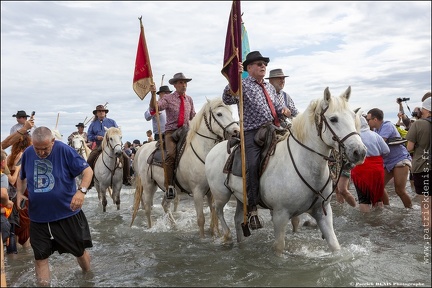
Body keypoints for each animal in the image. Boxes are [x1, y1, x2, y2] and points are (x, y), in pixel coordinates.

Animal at [132, 97, 240, 236]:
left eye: (231, 113)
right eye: (219, 114)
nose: (237, 131)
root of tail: (141, 149)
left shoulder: (211, 192)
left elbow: (213, 214)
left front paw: (215, 234)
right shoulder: (197, 192)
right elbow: (201, 219)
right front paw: (202, 238)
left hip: (167, 188)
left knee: (165, 205)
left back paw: (175, 226)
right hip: (148, 185)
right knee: (147, 207)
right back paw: (151, 228)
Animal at [204, 86, 366, 256]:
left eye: (353, 116)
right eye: (333, 119)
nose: (359, 152)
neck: (304, 165)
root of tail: (213, 150)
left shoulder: (322, 212)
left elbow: (335, 245)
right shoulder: (280, 215)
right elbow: (279, 248)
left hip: (242, 198)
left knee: (237, 220)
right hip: (221, 194)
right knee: (218, 210)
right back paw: (227, 236)